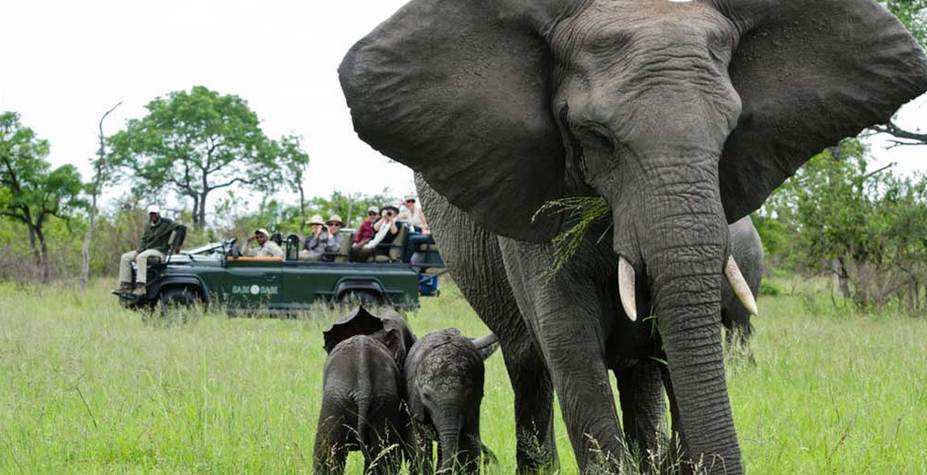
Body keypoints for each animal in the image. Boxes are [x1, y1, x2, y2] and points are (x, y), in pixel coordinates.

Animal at [406, 330, 500, 474]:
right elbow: (422, 445)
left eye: (468, 392)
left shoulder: (474, 404)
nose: (492, 461)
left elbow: (469, 442)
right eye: (426, 396)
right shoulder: (415, 403)